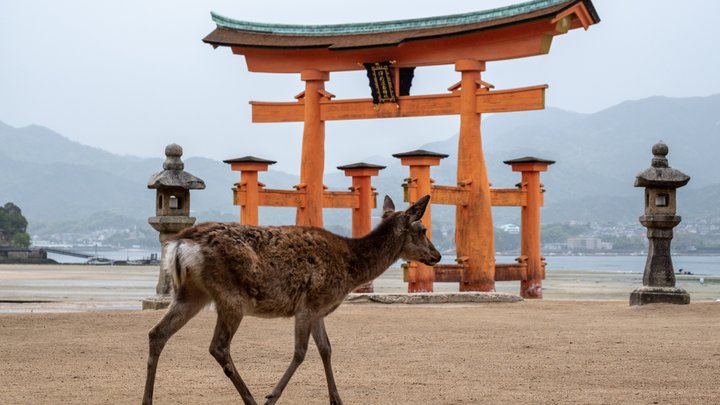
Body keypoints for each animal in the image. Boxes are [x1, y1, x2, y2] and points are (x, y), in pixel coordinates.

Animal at [143, 194, 442, 402]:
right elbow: (301, 352)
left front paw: (337, 400)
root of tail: (180, 244)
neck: (351, 267)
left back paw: (147, 399)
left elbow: (326, 349)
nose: (437, 255)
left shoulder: (319, 309)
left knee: (157, 333)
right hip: (230, 297)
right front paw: (271, 397)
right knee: (218, 346)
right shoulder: (308, 304)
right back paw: (252, 399)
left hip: (191, 294)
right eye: (423, 230)